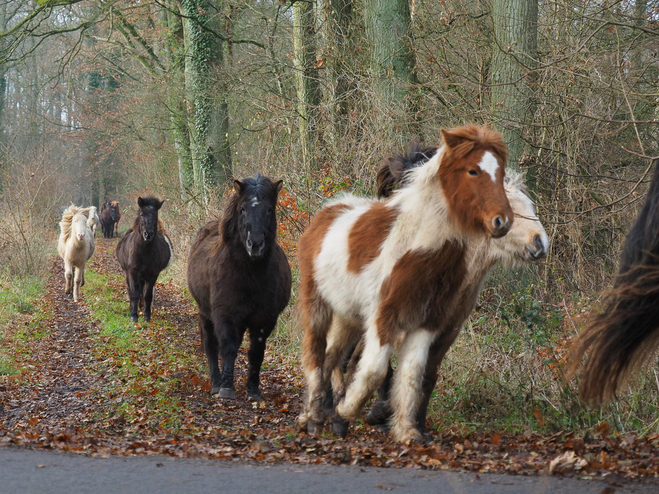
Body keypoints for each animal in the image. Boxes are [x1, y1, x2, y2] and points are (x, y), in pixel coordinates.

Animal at [188, 175, 292, 402]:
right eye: (243, 209)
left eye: (269, 209)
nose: (256, 244)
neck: (249, 274)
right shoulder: (225, 314)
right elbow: (228, 347)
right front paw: (226, 387)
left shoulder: (264, 319)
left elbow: (256, 353)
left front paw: (253, 390)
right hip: (205, 313)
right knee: (211, 346)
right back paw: (216, 383)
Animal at [298, 124, 516, 444]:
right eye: (473, 171)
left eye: (500, 173)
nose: (503, 221)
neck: (417, 251)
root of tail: (330, 208)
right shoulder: (383, 318)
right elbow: (374, 370)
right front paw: (346, 410)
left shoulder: (428, 323)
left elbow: (412, 374)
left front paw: (407, 431)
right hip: (318, 306)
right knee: (315, 356)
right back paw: (313, 418)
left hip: (349, 317)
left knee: (331, 358)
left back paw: (320, 414)